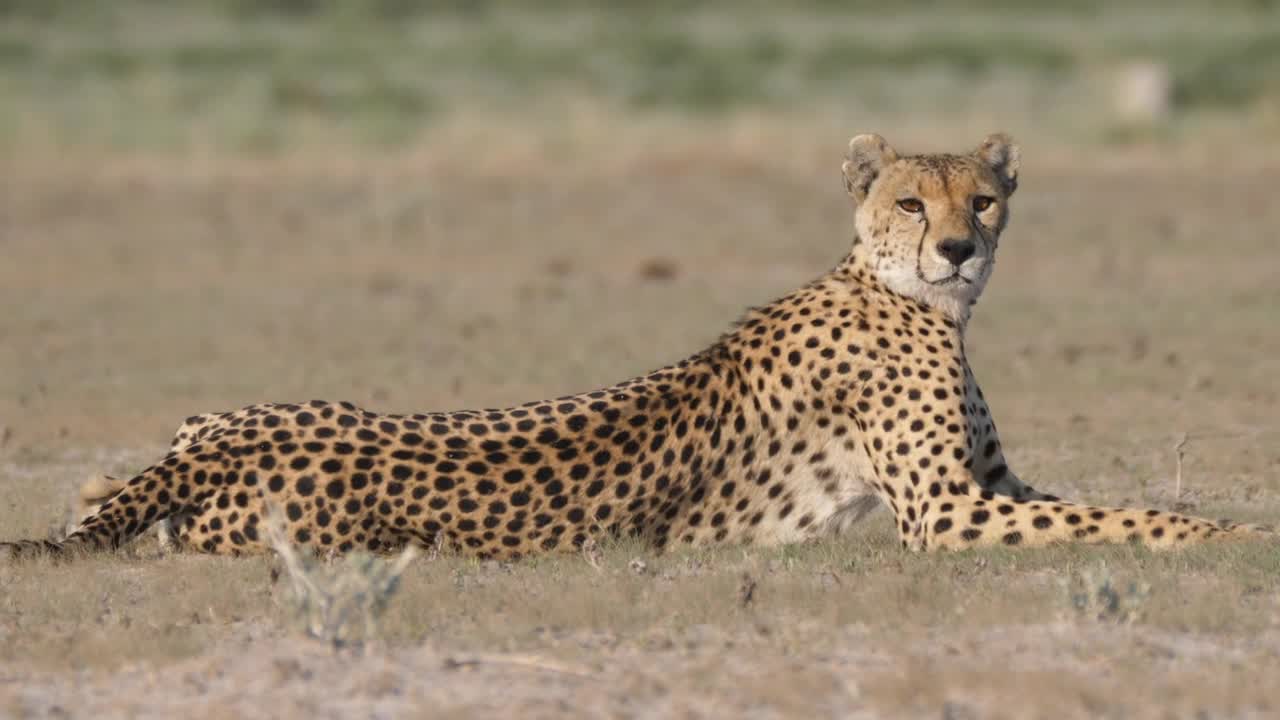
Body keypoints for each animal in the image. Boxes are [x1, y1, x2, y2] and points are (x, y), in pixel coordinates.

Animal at [4, 132, 1271, 562]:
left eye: (984, 198)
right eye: (911, 201)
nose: (958, 248)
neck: (905, 296)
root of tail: (222, 446)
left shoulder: (990, 484)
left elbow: (1109, 500)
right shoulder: (945, 513)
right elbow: (1123, 517)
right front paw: (1229, 537)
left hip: (214, 417)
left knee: (102, 492)